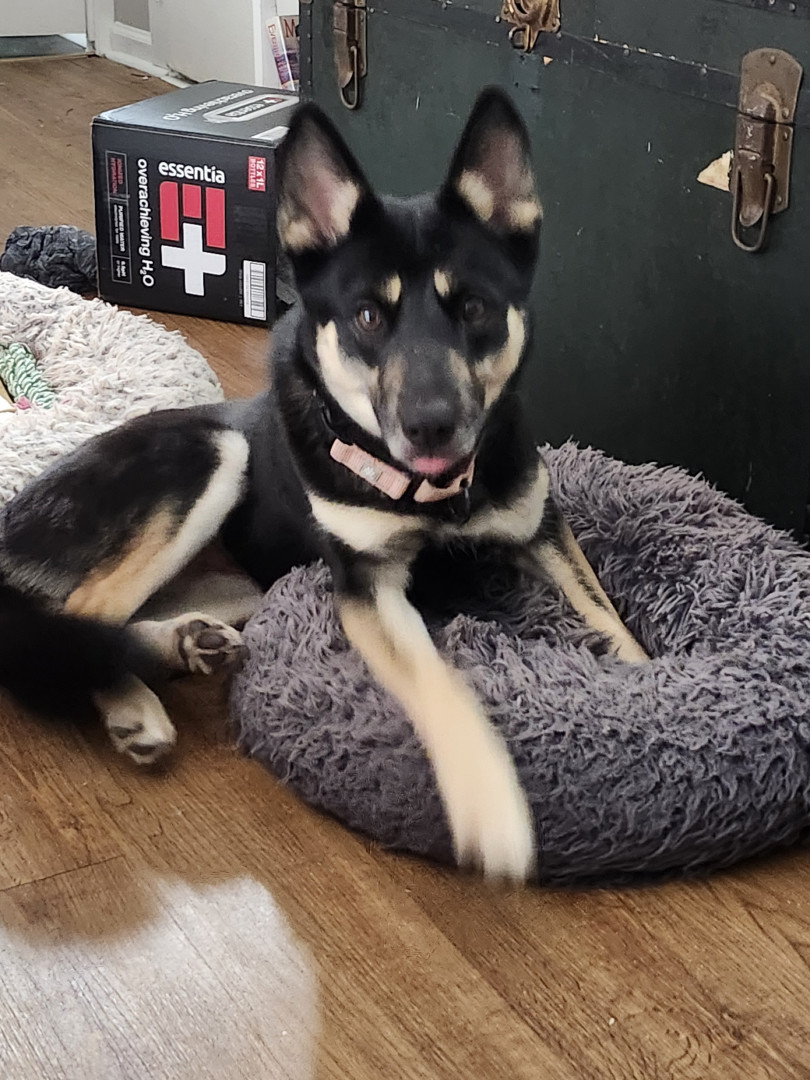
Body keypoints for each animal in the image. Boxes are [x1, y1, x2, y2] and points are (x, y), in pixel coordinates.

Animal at [0, 89, 647, 881]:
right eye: (368, 316)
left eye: (474, 309)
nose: (431, 428)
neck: (433, 494)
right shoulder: (367, 586)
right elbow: (440, 683)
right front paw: (490, 805)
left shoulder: (543, 527)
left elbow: (607, 617)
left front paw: (654, 686)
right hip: (214, 452)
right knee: (77, 617)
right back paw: (134, 701)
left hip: (239, 581)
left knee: (93, 628)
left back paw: (181, 649)